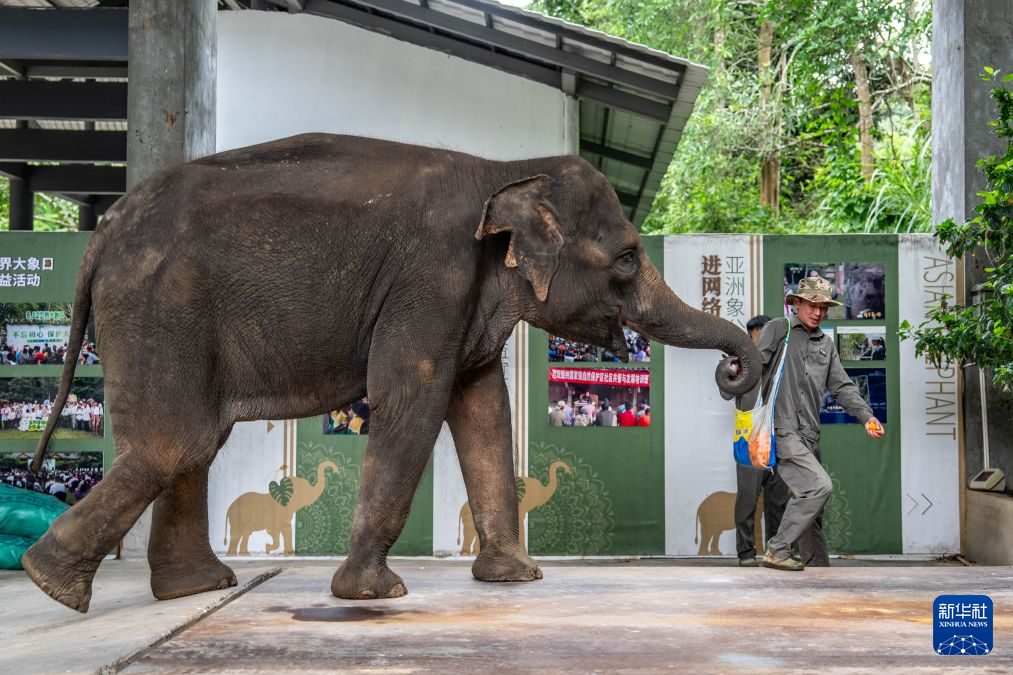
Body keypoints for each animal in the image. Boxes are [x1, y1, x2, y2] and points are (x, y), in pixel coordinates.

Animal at [23, 133, 760, 612]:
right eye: (628, 259)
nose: (736, 365)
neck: (505, 172)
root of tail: (104, 229)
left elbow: (484, 409)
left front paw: (517, 579)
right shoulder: (430, 280)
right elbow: (412, 400)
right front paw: (374, 594)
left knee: (193, 442)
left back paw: (193, 588)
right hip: (159, 308)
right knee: (177, 441)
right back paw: (50, 582)